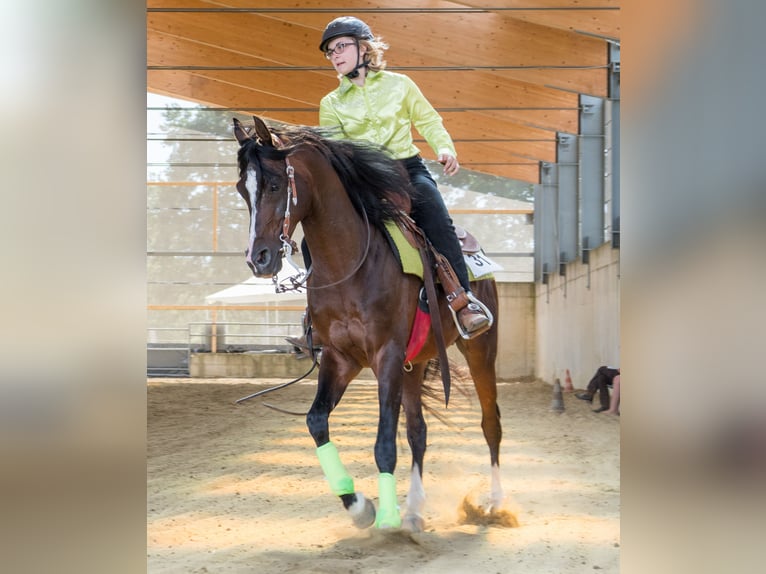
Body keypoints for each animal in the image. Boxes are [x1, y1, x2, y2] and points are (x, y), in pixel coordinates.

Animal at [234, 117, 510, 536]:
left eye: (276, 184)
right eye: (241, 189)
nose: (259, 259)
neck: (350, 265)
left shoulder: (387, 356)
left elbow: (384, 443)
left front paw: (386, 516)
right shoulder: (340, 358)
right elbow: (317, 422)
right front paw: (359, 505)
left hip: (480, 349)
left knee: (490, 422)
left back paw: (494, 504)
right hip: (415, 364)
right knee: (418, 432)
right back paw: (414, 510)